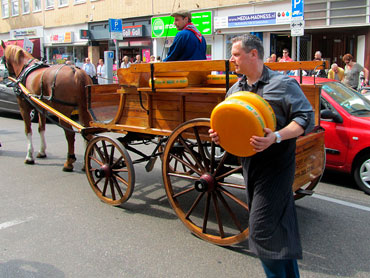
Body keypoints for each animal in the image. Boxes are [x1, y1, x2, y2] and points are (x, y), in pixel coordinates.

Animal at [0, 41, 92, 172]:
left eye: (3, 58)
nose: (8, 77)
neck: (25, 66)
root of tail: (77, 73)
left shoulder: (23, 107)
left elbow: (28, 130)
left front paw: (29, 157)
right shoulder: (41, 108)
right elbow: (41, 128)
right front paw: (42, 152)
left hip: (63, 110)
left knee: (70, 134)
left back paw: (69, 162)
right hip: (83, 108)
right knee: (86, 132)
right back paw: (85, 164)